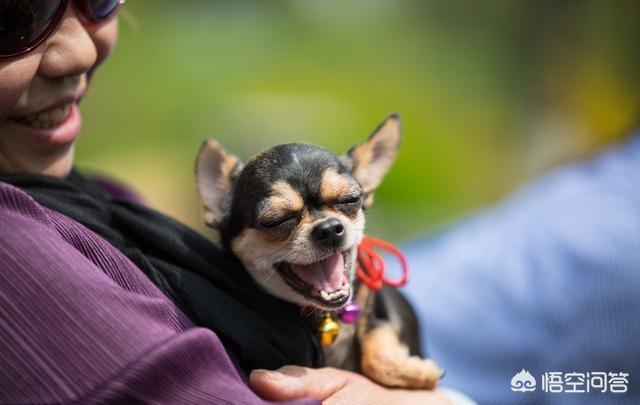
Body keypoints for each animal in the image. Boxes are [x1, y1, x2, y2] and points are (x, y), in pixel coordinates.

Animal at [195, 113, 442, 388]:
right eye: (276, 221)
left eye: (351, 199)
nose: (329, 229)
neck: (325, 316)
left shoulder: (377, 303)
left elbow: (376, 338)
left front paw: (412, 371)